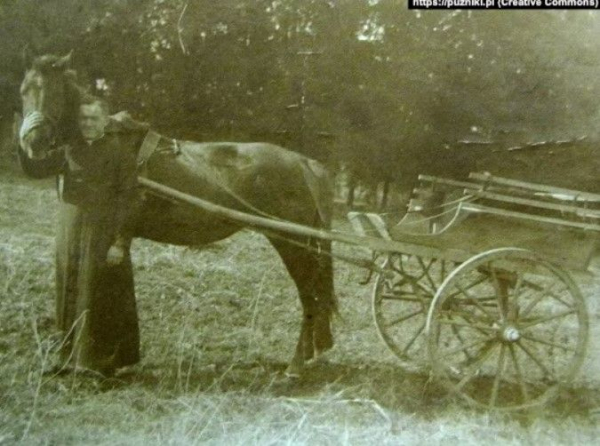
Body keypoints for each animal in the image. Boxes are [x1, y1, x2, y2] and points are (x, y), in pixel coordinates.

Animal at [16, 51, 338, 376]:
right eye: (24, 91)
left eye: (55, 92)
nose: (34, 142)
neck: (101, 139)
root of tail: (304, 163)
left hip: (292, 244)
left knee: (310, 297)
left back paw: (296, 365)